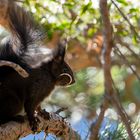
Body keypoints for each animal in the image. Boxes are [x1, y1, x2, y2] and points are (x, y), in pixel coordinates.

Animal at [0, 0, 75, 131]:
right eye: (65, 68)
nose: (74, 80)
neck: (49, 74)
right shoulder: (39, 84)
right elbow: (30, 104)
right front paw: (33, 119)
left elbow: (37, 105)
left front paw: (43, 113)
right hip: (12, 101)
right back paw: (15, 118)